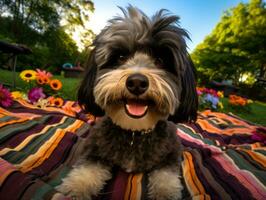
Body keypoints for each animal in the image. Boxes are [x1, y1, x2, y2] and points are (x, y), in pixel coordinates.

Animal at [56, 5, 197, 199]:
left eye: (160, 60)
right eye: (121, 57)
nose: (137, 82)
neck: (134, 132)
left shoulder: (172, 150)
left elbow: (166, 175)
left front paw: (165, 191)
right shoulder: (95, 145)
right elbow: (88, 168)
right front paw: (77, 187)